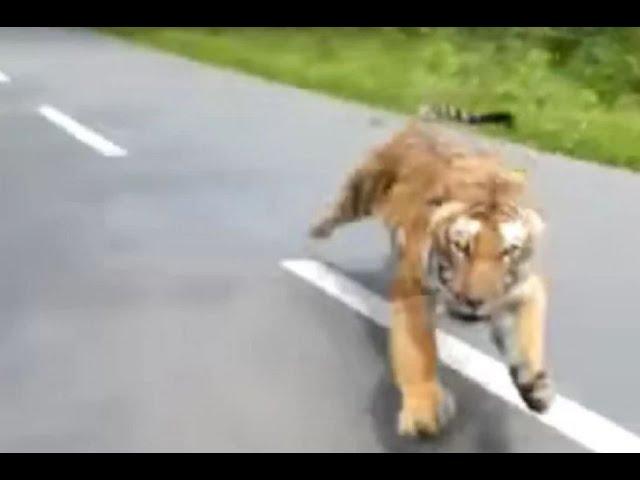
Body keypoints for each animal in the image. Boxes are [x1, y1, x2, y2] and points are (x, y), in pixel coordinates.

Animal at [308, 106, 552, 438]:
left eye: (508, 251)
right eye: (462, 247)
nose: (474, 301)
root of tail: (425, 125)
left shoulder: (523, 289)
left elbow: (526, 338)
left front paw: (535, 388)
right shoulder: (414, 289)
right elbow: (419, 352)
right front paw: (424, 410)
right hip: (364, 188)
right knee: (338, 209)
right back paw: (315, 232)